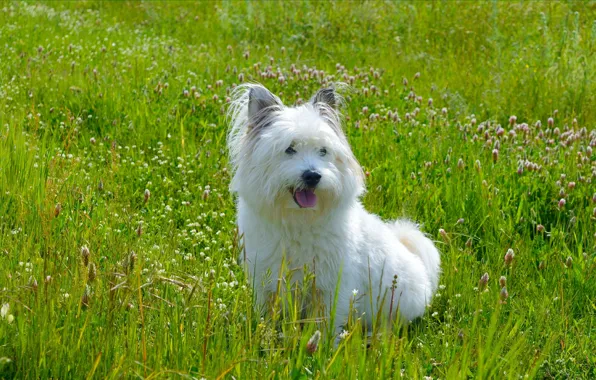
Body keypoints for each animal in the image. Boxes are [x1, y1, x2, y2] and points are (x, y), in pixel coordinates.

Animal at [226, 84, 440, 338]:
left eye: (323, 151)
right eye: (289, 149)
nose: (313, 175)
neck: (298, 220)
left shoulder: (331, 286)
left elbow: (325, 322)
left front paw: (322, 343)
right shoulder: (267, 282)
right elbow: (268, 316)